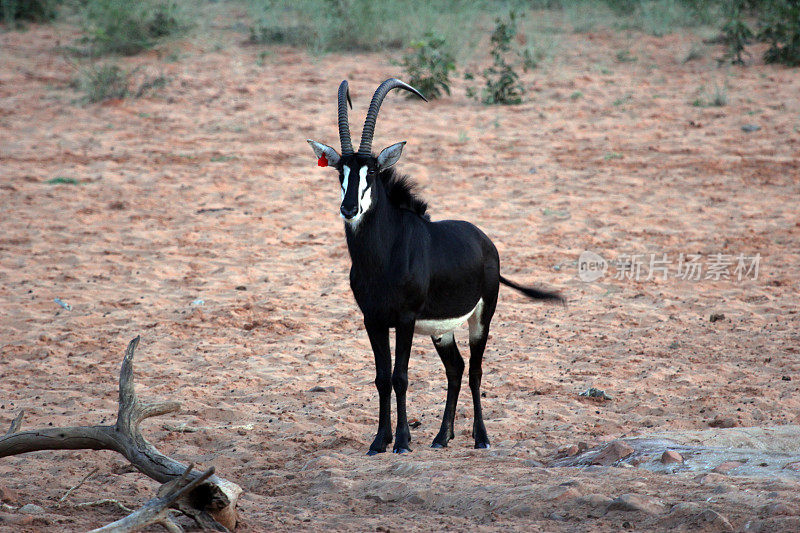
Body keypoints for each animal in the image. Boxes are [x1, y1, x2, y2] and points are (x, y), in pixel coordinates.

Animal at [306, 79, 564, 454]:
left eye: (373, 172)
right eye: (342, 171)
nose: (349, 208)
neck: (382, 257)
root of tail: (485, 243)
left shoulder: (405, 319)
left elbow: (400, 377)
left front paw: (401, 442)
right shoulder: (373, 320)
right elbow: (381, 378)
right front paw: (379, 442)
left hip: (481, 319)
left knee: (475, 371)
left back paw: (481, 438)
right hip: (442, 332)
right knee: (455, 369)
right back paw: (442, 437)